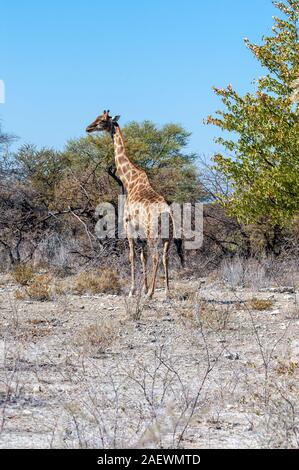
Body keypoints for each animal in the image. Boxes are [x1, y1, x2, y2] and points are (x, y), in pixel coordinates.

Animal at [86, 110, 178, 298]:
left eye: (102, 121)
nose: (88, 128)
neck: (129, 181)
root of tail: (166, 214)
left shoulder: (128, 226)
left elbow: (131, 256)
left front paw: (133, 290)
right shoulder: (139, 232)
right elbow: (142, 257)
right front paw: (142, 288)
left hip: (153, 234)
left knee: (156, 257)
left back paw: (151, 293)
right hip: (168, 236)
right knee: (165, 257)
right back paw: (166, 292)